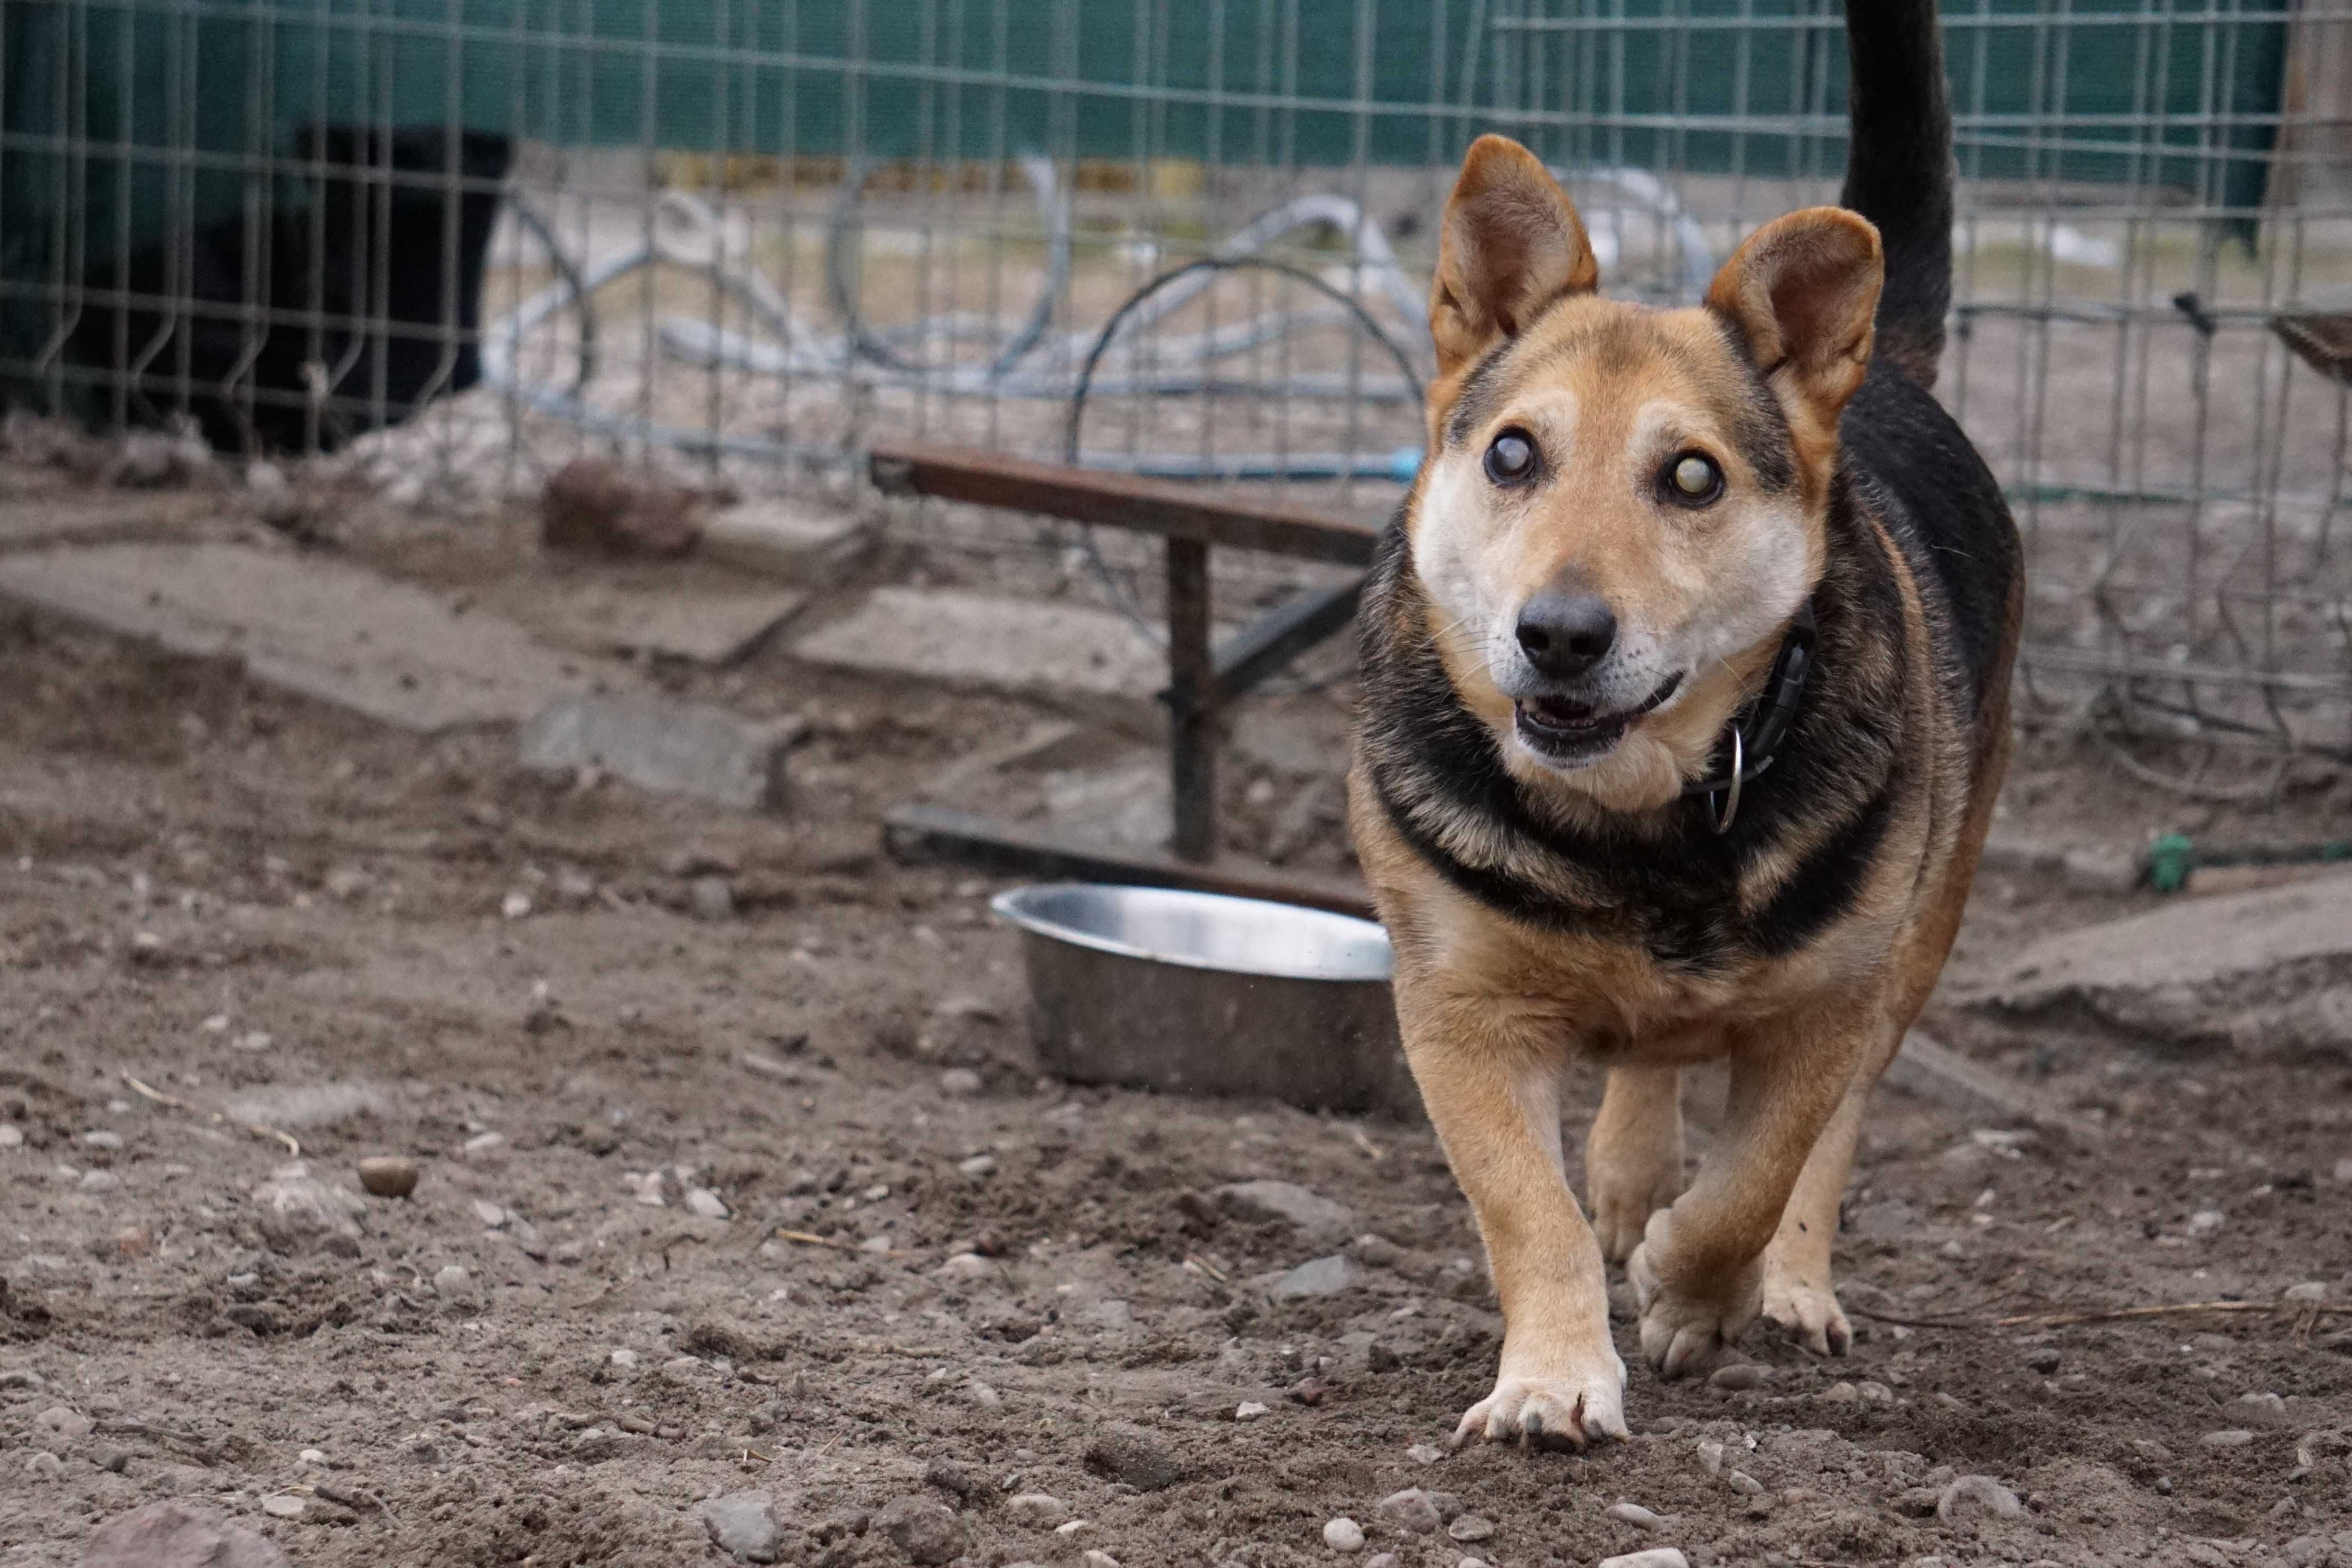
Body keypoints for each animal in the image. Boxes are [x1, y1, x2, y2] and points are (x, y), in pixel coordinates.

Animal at [1354, 0, 2013, 1448]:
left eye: (1694, 476)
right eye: (1512, 453)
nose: (1559, 634)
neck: (1637, 825)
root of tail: (1883, 378)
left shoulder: (1827, 1003)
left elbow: (1756, 1178)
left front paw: (1694, 1290)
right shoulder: (1460, 1008)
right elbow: (1524, 1205)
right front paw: (1553, 1375)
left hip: (1925, 919)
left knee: (1831, 1131)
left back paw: (1791, 1286)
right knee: (1644, 1072)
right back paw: (1626, 1168)